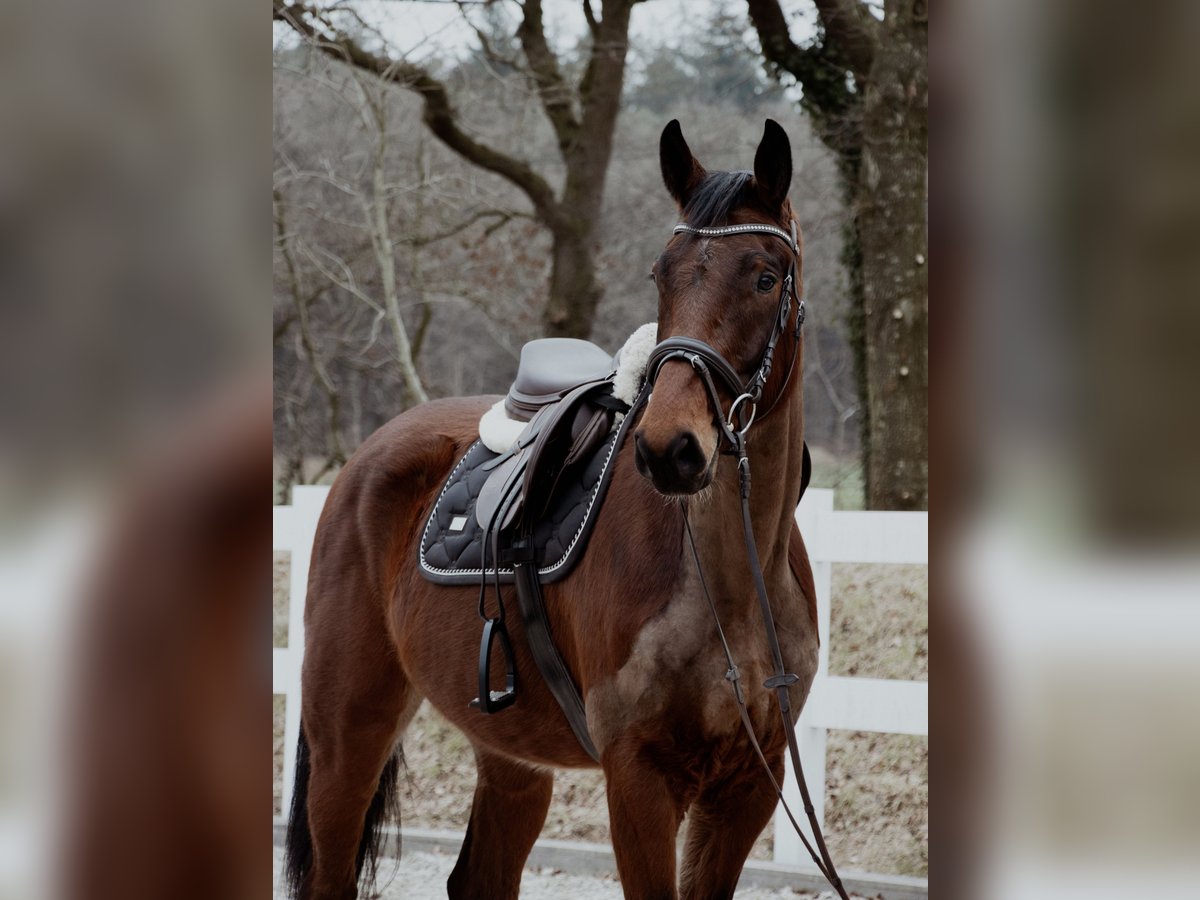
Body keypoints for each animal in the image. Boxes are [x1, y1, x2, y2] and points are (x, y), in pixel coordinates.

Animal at [284, 121, 825, 900]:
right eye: (661, 275)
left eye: (765, 276)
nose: (669, 449)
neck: (730, 587)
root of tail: (363, 461)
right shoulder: (637, 780)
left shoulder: (750, 783)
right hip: (346, 739)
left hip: (510, 757)